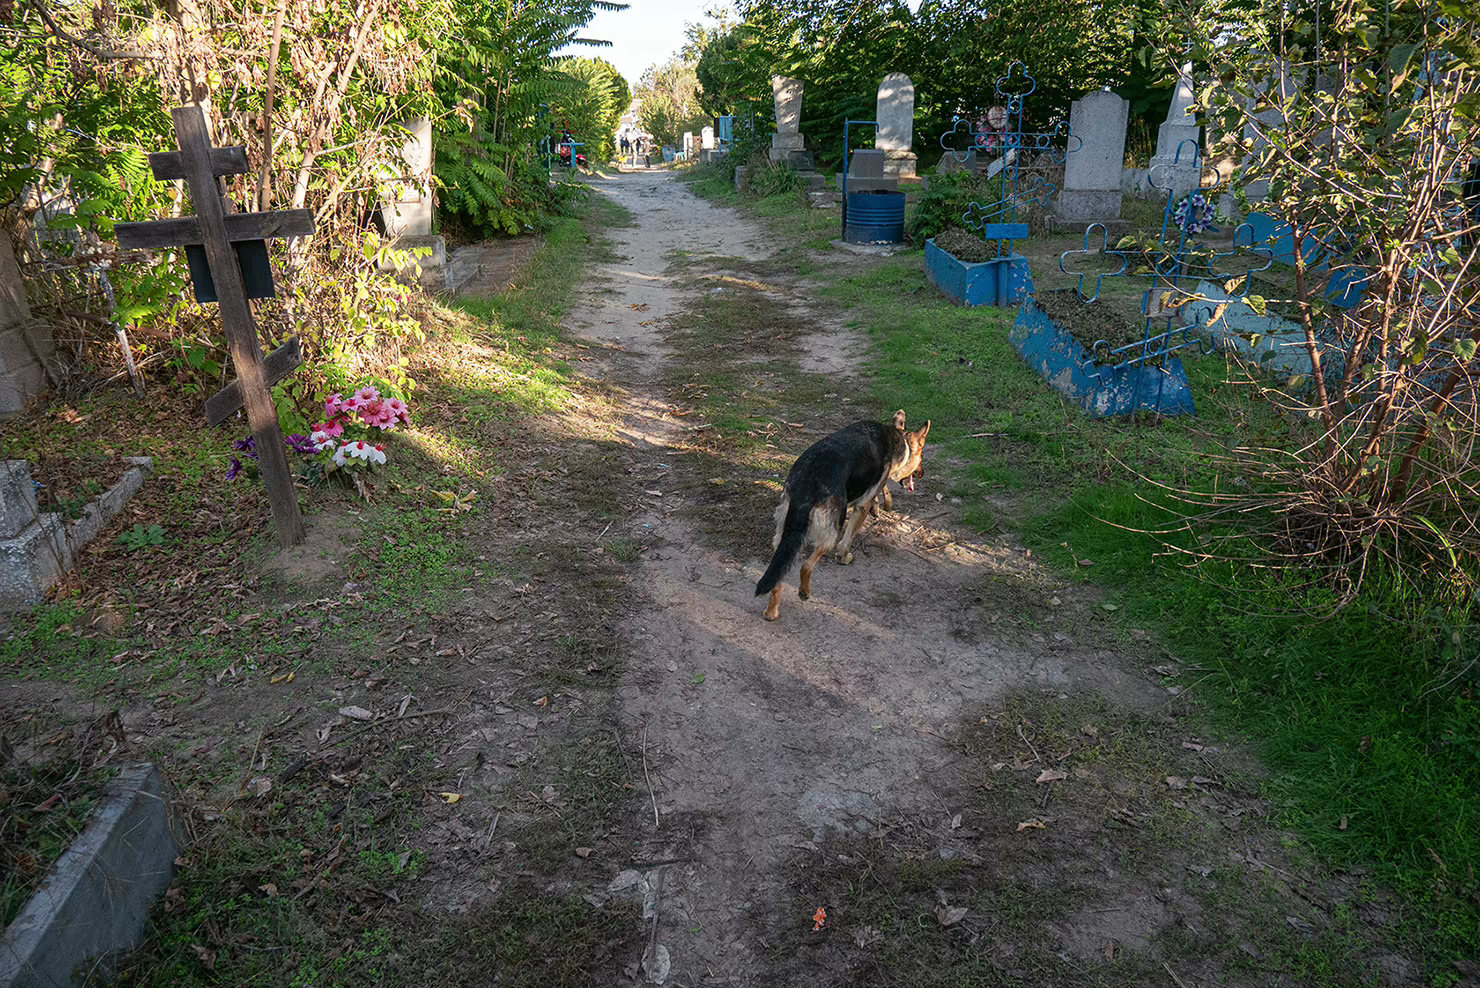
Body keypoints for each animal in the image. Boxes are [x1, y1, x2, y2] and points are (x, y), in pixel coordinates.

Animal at [755, 410, 930, 621]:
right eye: (922, 457)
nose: (922, 474)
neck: (897, 437)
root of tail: (807, 481)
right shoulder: (861, 506)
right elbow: (847, 541)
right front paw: (844, 556)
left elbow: (882, 491)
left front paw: (882, 506)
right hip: (832, 528)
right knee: (806, 565)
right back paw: (804, 591)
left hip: (785, 533)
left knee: (780, 572)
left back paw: (772, 612)